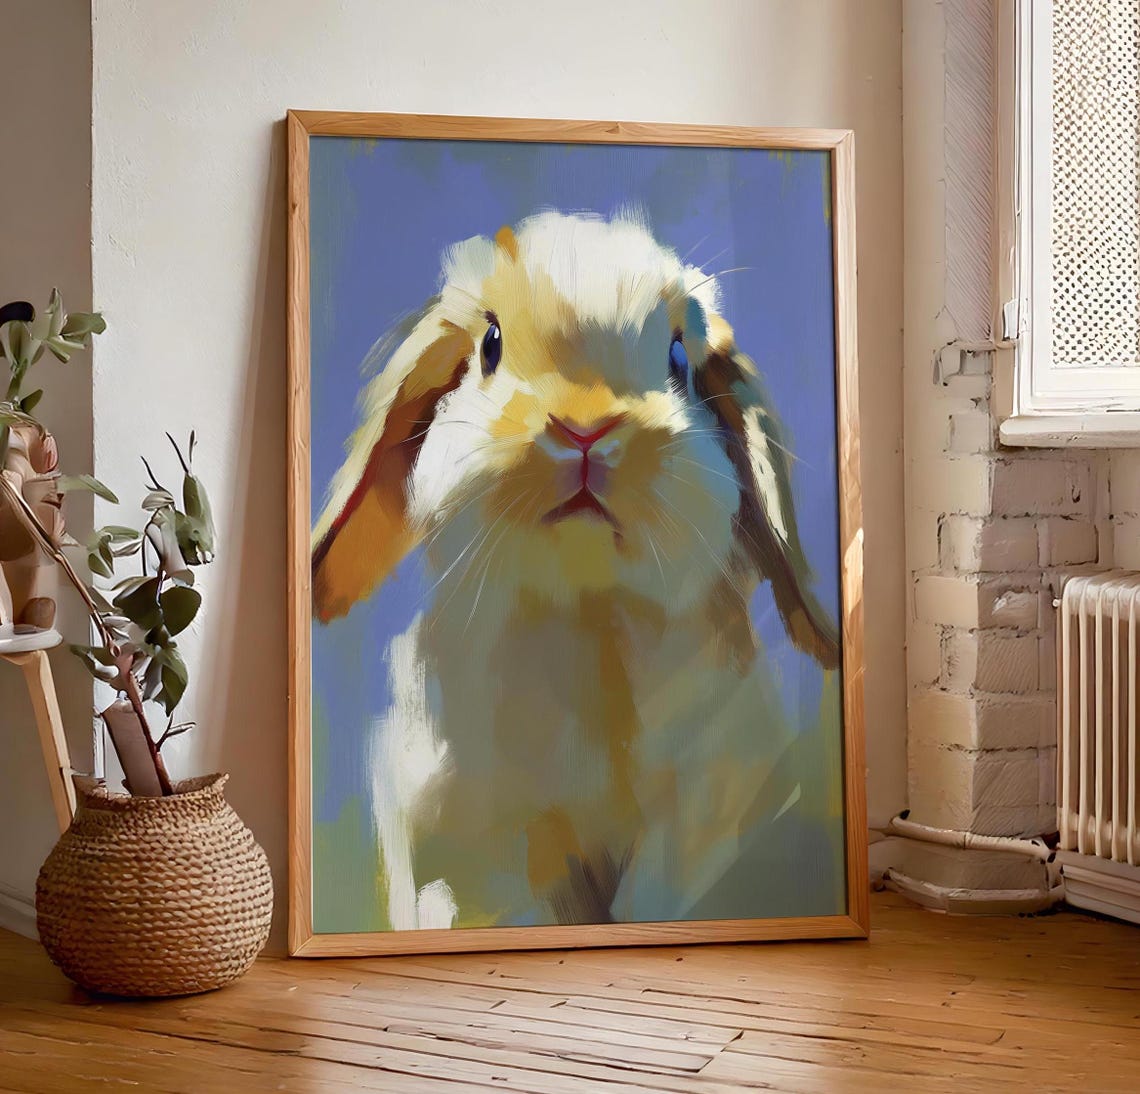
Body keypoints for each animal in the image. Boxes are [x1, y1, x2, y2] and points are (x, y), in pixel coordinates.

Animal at [312, 210, 840, 931]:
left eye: (679, 361)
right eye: (490, 345)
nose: (585, 430)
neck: (583, 616)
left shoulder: (705, 824)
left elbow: (656, 897)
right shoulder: (475, 854)